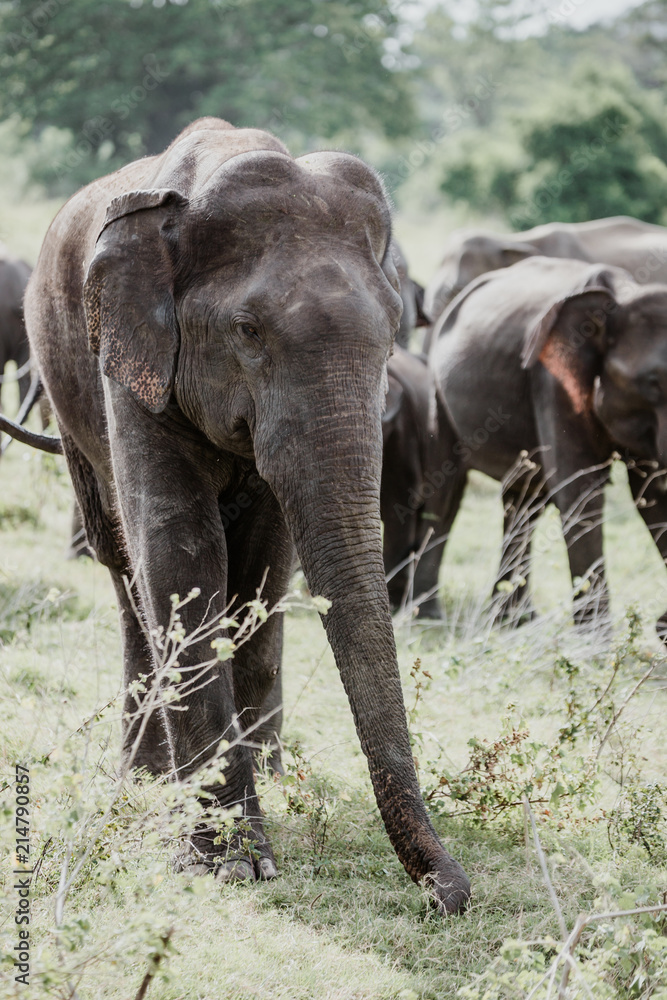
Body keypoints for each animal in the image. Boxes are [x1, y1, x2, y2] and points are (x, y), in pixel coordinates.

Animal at [21, 117, 469, 912]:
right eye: (248, 331)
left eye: (396, 332)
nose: (448, 893)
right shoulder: (130, 359)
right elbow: (178, 551)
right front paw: (228, 864)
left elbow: (265, 560)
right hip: (67, 396)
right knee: (122, 566)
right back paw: (145, 778)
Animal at [416, 255, 667, 635]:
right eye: (653, 382)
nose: (659, 622)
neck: (623, 294)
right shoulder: (552, 380)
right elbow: (580, 492)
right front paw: (594, 645)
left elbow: (651, 494)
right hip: (435, 384)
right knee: (446, 491)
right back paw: (429, 616)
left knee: (523, 501)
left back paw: (514, 622)